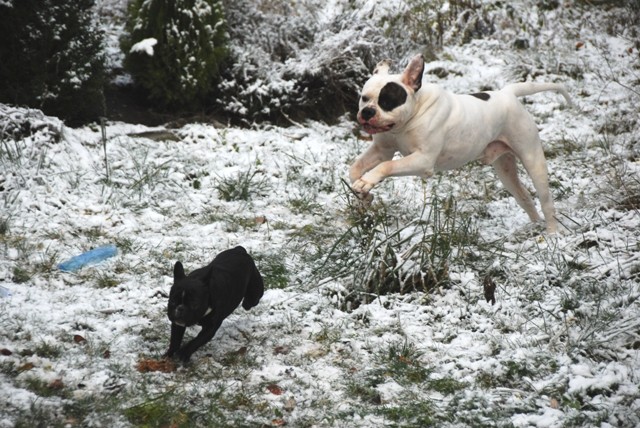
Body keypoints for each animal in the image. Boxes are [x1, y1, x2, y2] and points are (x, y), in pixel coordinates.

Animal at [352, 54, 572, 234]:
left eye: (387, 101)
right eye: (364, 98)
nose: (367, 112)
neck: (413, 113)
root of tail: (507, 93)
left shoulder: (422, 161)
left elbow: (387, 166)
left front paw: (366, 182)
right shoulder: (382, 150)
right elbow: (354, 168)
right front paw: (363, 194)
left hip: (533, 160)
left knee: (546, 200)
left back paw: (552, 234)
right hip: (505, 169)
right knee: (524, 196)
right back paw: (534, 227)